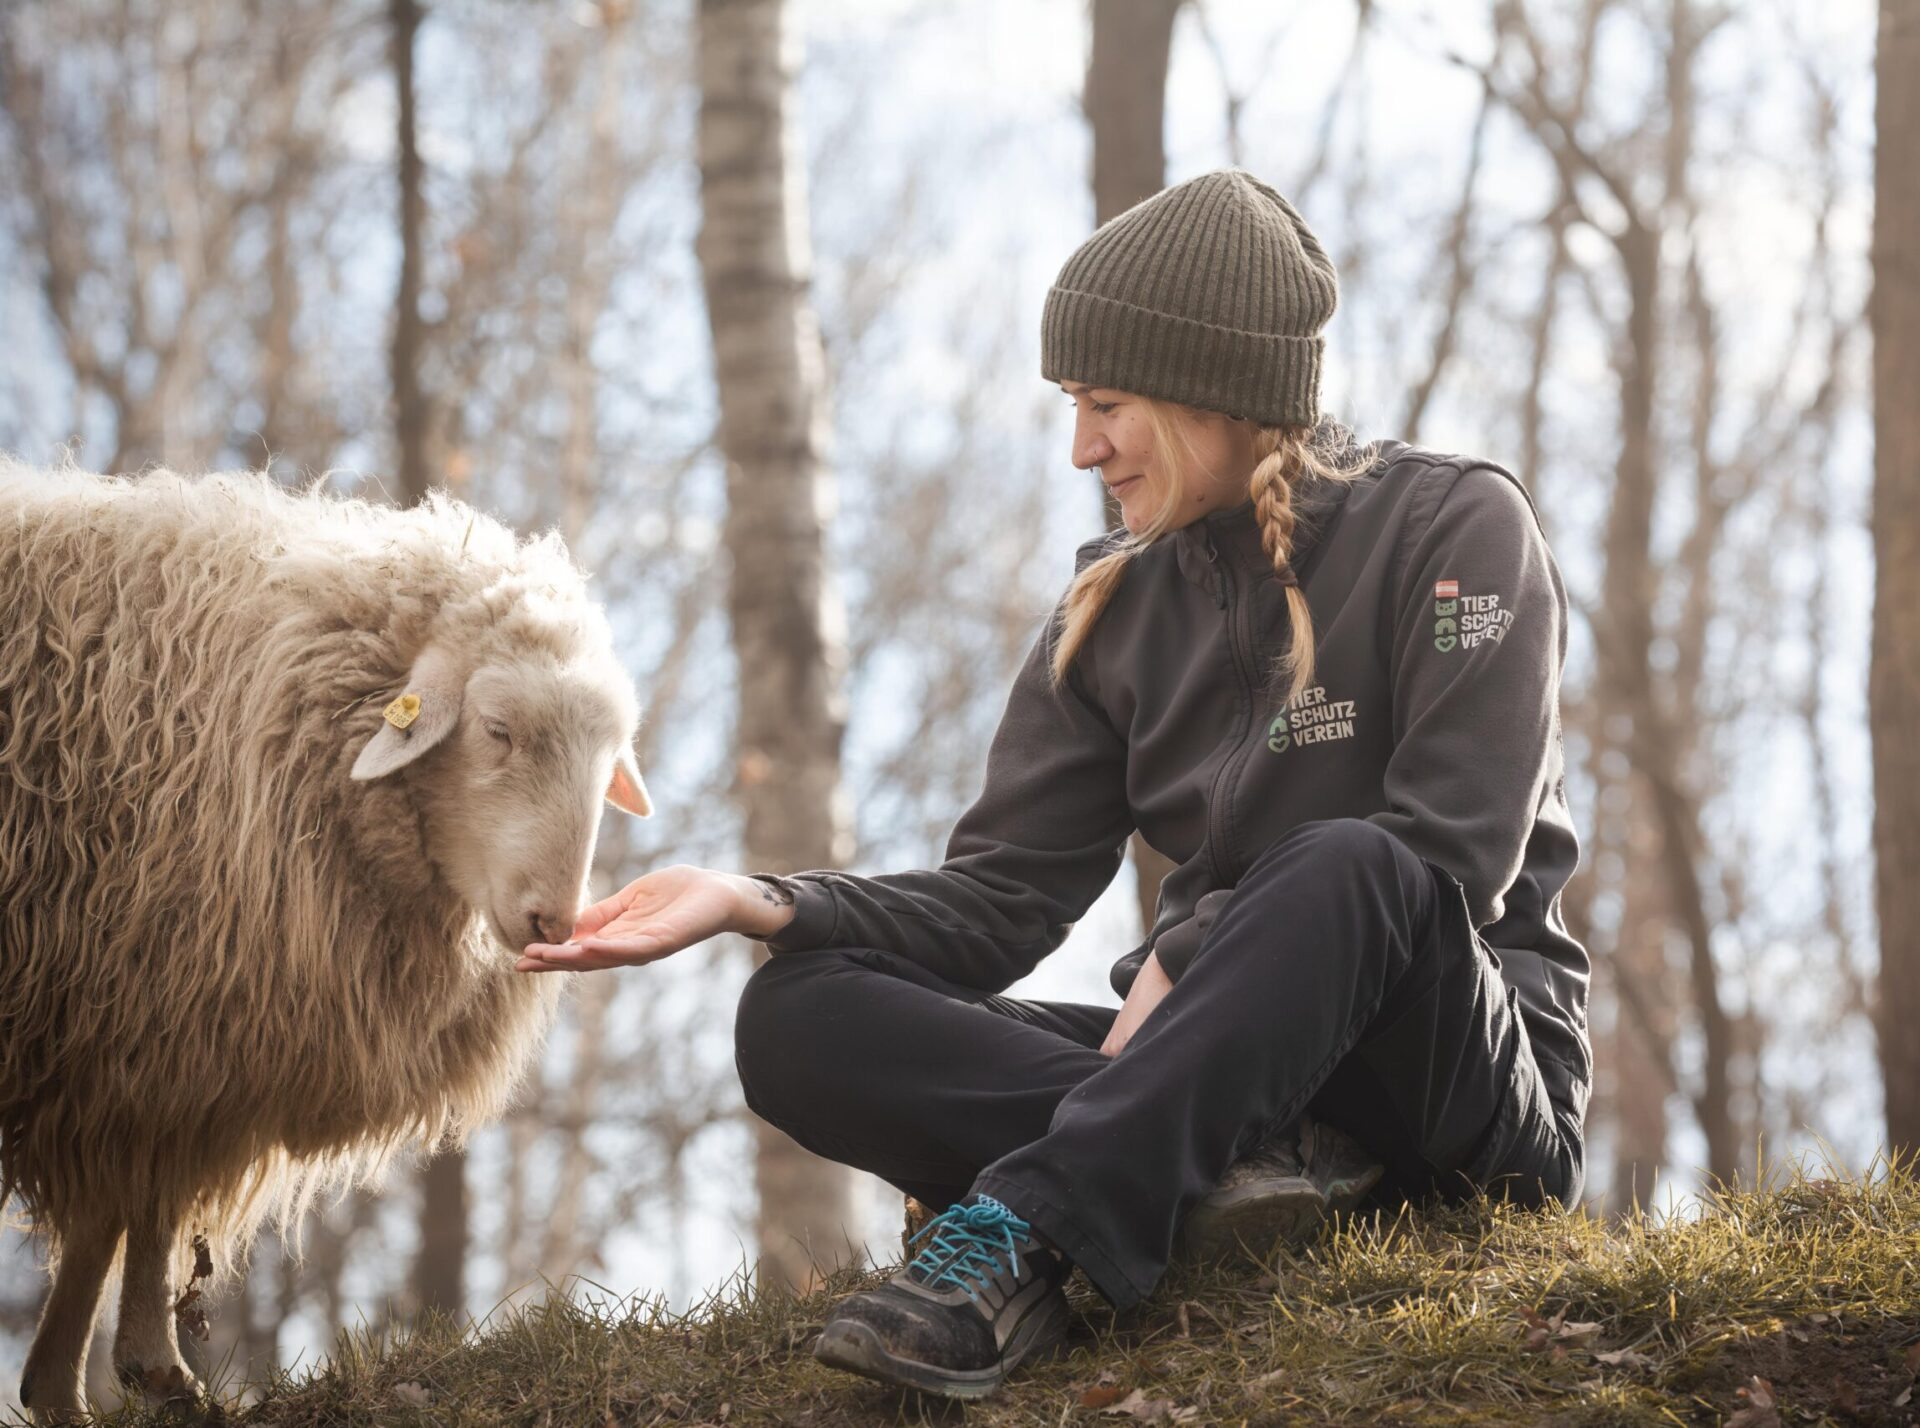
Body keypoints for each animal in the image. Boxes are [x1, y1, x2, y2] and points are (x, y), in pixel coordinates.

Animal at [0, 462, 653, 1419]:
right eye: (498, 730)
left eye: (610, 759)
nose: (553, 923)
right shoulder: (139, 1022)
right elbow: (134, 1201)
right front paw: (127, 1373)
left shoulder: (157, 1036)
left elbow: (131, 1206)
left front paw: (95, 1380)